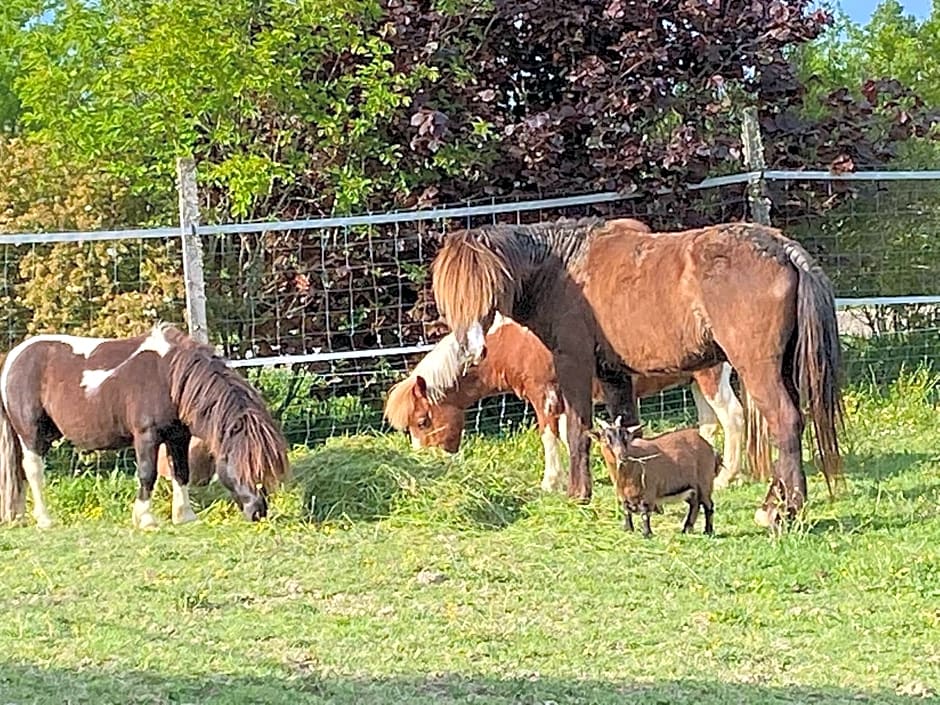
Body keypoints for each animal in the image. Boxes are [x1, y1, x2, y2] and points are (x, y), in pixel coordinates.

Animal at [0, 324, 286, 528]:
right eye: (244, 464)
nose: (258, 511)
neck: (168, 376)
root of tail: (14, 357)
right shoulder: (147, 436)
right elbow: (148, 474)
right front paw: (145, 519)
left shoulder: (177, 437)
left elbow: (181, 472)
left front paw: (184, 516)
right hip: (32, 435)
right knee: (33, 470)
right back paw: (45, 520)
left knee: (20, 473)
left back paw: (21, 517)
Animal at [386, 310, 744, 492]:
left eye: (422, 421)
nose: (427, 464)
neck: (514, 341)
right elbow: (567, 436)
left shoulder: (543, 394)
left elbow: (548, 436)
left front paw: (550, 481)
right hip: (696, 381)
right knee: (708, 426)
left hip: (711, 378)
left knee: (733, 418)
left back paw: (726, 478)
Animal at [434, 217, 844, 524]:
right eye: (451, 296)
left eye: (489, 288)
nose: (471, 350)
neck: (564, 271)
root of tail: (783, 249)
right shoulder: (614, 375)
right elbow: (628, 430)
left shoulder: (573, 365)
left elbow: (576, 431)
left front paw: (577, 494)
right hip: (782, 370)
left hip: (756, 369)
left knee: (784, 422)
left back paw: (783, 508)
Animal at [588, 416, 720, 536]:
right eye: (606, 440)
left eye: (626, 439)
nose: (623, 457)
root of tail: (709, 446)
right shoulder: (623, 495)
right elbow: (626, 511)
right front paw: (628, 530)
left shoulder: (648, 492)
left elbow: (645, 514)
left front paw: (647, 534)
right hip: (691, 487)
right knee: (695, 504)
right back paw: (687, 529)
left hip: (705, 482)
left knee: (708, 504)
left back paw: (708, 531)